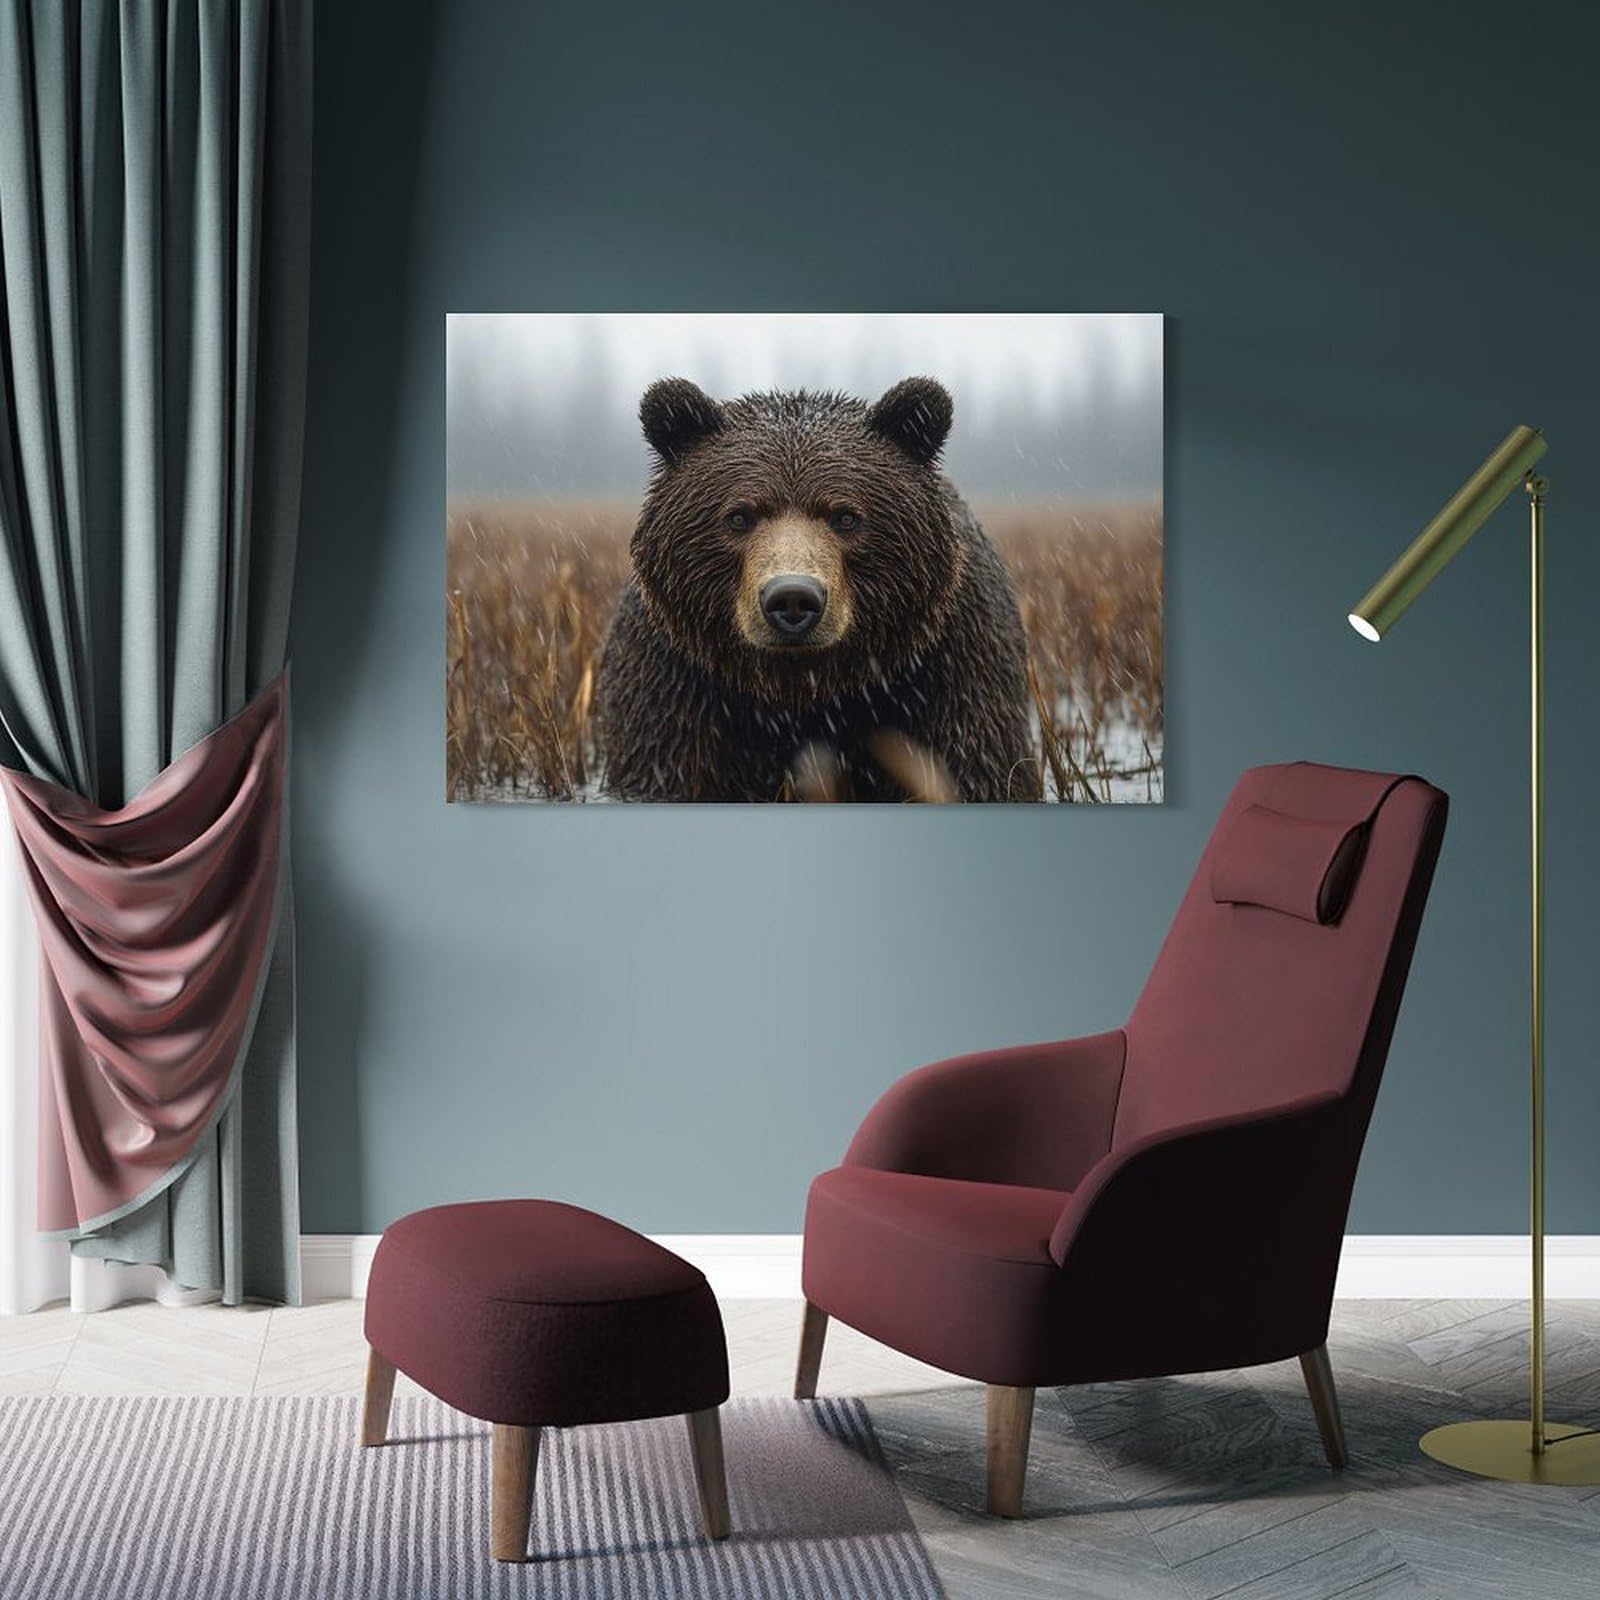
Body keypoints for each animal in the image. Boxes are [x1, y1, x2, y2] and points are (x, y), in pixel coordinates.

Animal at [596, 375, 1038, 803]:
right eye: (738, 516)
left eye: (846, 516)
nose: (792, 598)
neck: (806, 690)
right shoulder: (676, 680)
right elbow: (665, 761)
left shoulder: (946, 671)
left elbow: (974, 763)